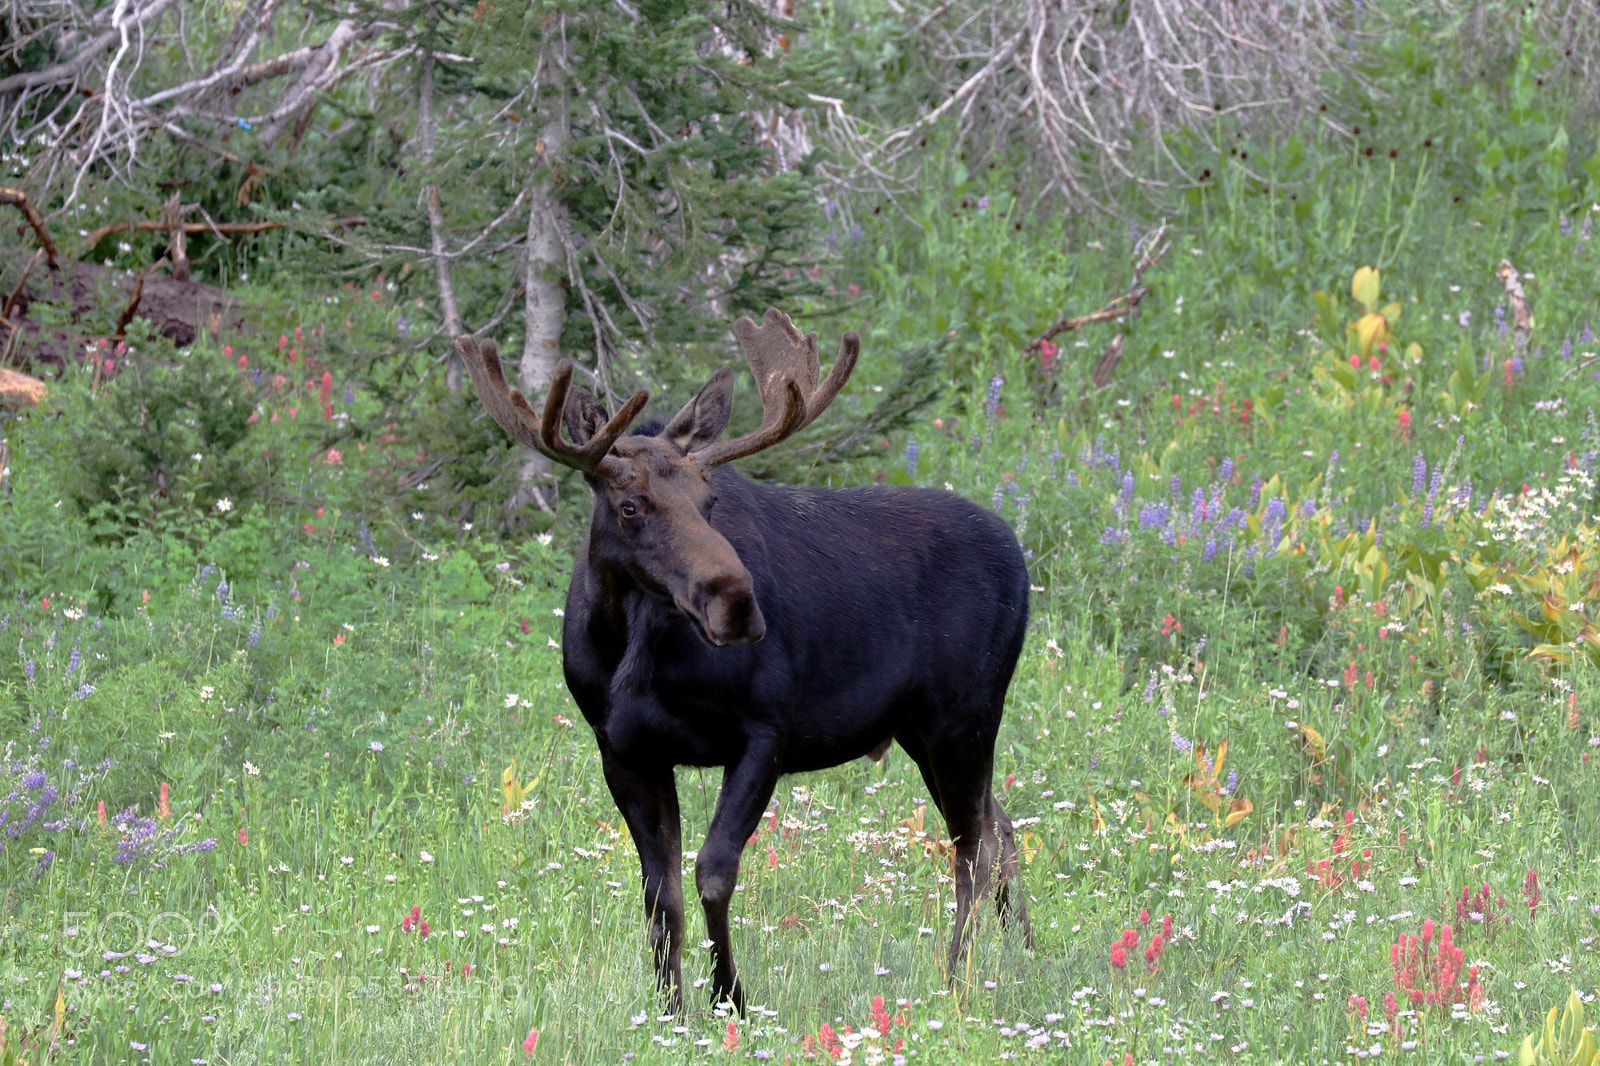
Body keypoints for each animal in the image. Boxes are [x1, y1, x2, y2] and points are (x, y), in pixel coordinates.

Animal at [455, 309, 1033, 1012]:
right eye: (629, 505)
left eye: (710, 503)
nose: (737, 604)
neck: (635, 651)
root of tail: (1020, 554)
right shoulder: (624, 749)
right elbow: (660, 893)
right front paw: (669, 1010)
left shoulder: (766, 732)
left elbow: (713, 871)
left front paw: (729, 999)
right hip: (922, 729)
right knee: (1000, 830)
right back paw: (1024, 957)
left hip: (963, 714)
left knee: (972, 847)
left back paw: (955, 982)